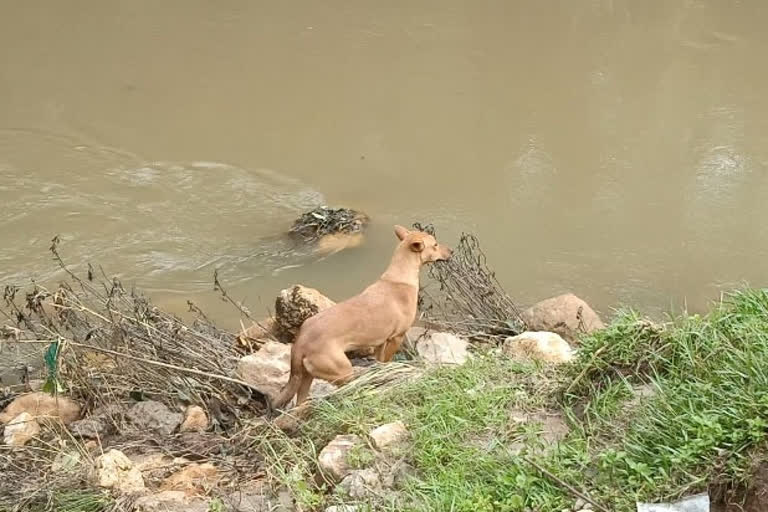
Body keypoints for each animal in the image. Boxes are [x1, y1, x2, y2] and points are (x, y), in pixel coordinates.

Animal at [272, 226, 450, 410]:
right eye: (435, 245)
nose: (450, 251)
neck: (399, 277)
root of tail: (300, 342)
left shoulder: (381, 342)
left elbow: (380, 361)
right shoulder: (396, 337)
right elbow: (387, 361)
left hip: (307, 376)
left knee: (300, 402)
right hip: (342, 371)